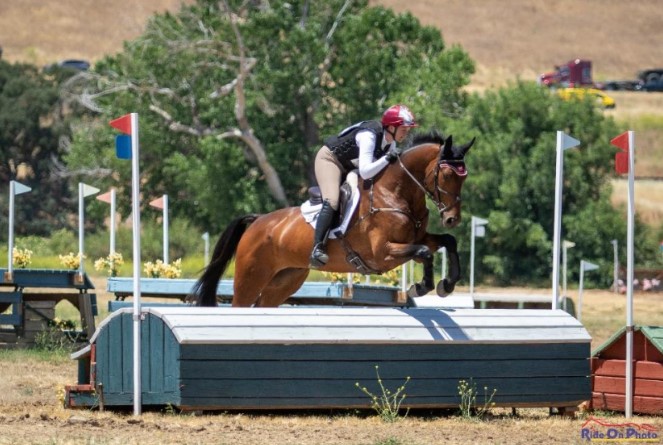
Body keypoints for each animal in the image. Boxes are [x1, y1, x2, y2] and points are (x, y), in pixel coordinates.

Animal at [191, 132, 474, 307]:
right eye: (447, 175)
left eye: (465, 177)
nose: (452, 218)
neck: (395, 192)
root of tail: (258, 220)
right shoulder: (383, 253)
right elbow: (425, 252)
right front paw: (422, 286)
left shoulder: (415, 238)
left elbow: (446, 242)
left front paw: (446, 285)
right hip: (251, 277)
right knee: (240, 303)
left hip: (286, 280)